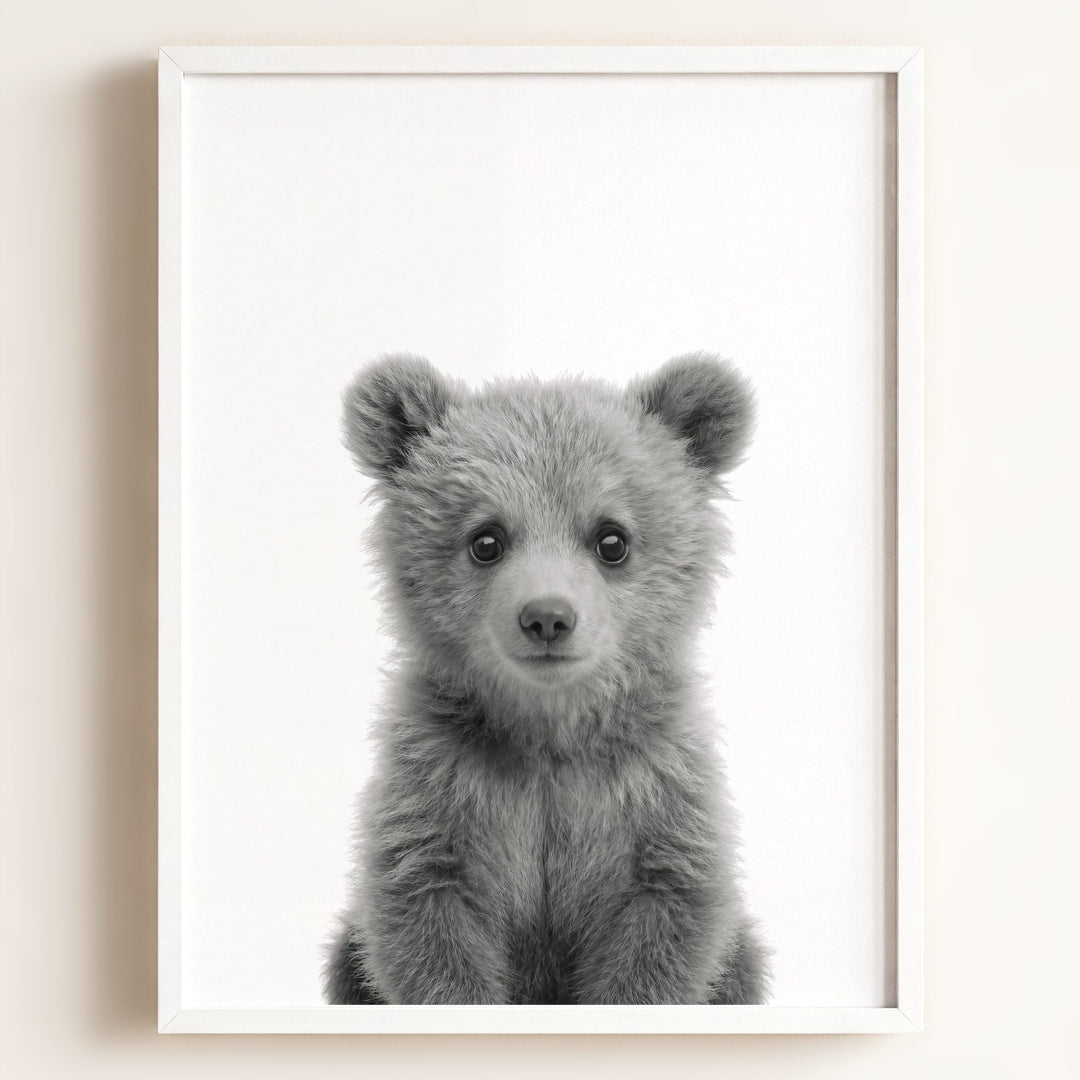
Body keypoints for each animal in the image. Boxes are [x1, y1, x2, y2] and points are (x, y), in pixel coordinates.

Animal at [324, 352, 770, 1005]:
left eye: (612, 539)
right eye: (486, 539)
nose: (548, 617)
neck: (548, 732)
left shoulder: (654, 794)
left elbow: (663, 927)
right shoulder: (440, 787)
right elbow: (427, 922)